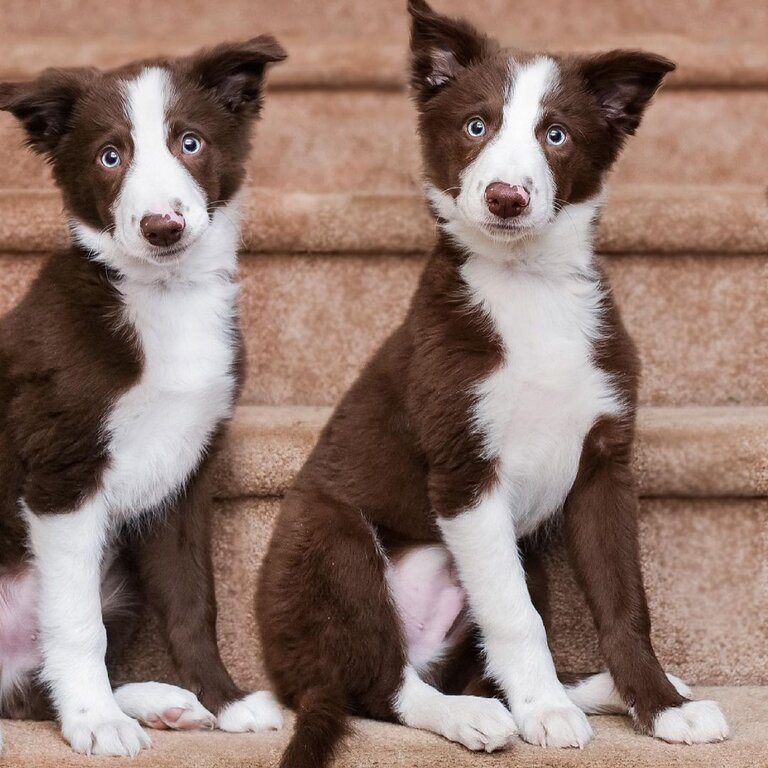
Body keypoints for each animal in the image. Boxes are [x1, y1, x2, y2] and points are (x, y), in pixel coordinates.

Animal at [0, 37, 286, 756]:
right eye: (111, 156)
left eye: (190, 142)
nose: (162, 227)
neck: (165, 295)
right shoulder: (61, 477)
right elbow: (75, 624)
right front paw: (96, 723)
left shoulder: (183, 479)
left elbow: (192, 603)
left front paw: (228, 701)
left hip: (117, 577)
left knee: (30, 691)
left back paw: (160, 704)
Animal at [256, 3, 728, 764]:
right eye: (476, 126)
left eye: (556, 135)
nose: (507, 197)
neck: (528, 287)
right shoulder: (465, 473)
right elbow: (514, 617)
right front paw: (546, 713)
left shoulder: (603, 466)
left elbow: (625, 607)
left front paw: (659, 707)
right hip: (330, 540)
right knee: (381, 687)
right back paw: (473, 715)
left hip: (525, 551)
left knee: (466, 667)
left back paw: (579, 692)